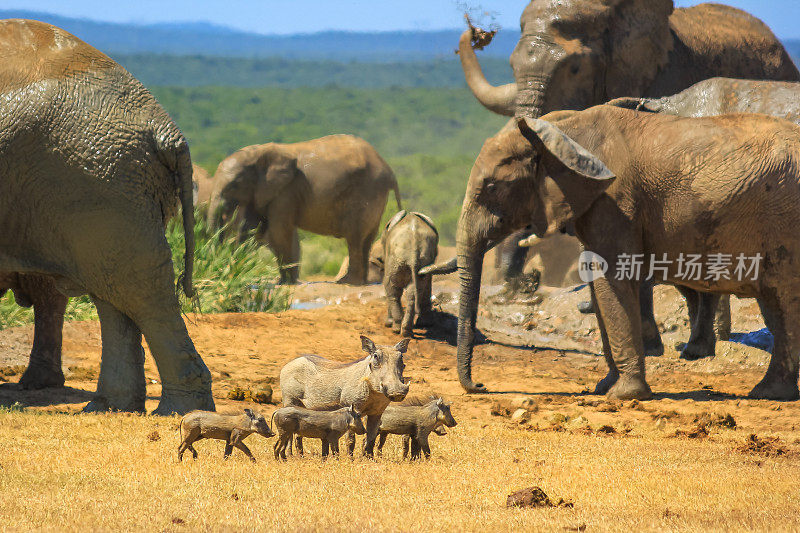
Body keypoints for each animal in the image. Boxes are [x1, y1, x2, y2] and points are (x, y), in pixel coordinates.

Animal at [0, 19, 212, 412]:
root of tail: (163, 126)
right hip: (110, 186)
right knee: (114, 292)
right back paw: (109, 406)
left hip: (98, 180)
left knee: (141, 291)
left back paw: (181, 411)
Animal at [211, 135, 404, 284]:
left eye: (234, 184)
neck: (258, 152)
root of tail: (389, 170)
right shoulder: (261, 192)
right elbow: (251, 229)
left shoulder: (286, 191)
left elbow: (278, 231)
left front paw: (285, 282)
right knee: (367, 239)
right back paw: (358, 281)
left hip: (366, 191)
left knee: (355, 237)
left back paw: (347, 282)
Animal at [446, 107, 800, 400]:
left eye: (492, 188)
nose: (480, 386)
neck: (557, 132)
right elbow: (598, 283)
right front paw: (604, 387)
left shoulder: (616, 202)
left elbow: (611, 279)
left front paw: (623, 395)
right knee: (776, 307)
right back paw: (770, 392)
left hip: (785, 220)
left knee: (785, 300)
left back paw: (767, 393)